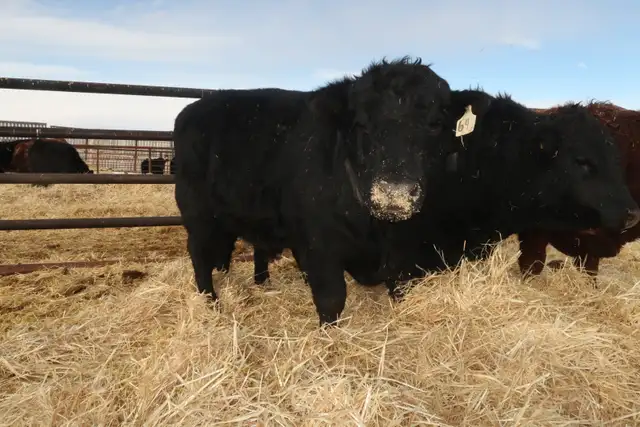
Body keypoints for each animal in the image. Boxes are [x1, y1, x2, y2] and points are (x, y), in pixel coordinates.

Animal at [173, 56, 454, 326]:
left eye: (435, 124)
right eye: (362, 124)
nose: (394, 193)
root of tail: (193, 109)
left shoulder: (401, 248)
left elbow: (400, 289)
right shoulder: (319, 246)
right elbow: (331, 299)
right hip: (197, 216)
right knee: (200, 255)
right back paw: (211, 302)